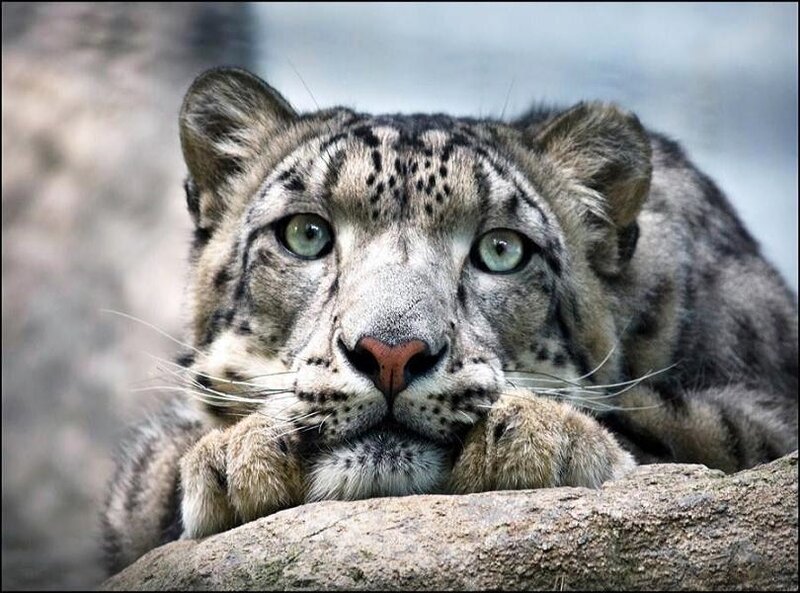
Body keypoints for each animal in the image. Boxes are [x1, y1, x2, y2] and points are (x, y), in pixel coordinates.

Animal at [101, 67, 798, 574]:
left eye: (502, 249)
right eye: (306, 234)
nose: (390, 352)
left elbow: (684, 430)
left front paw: (542, 438)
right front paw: (238, 457)